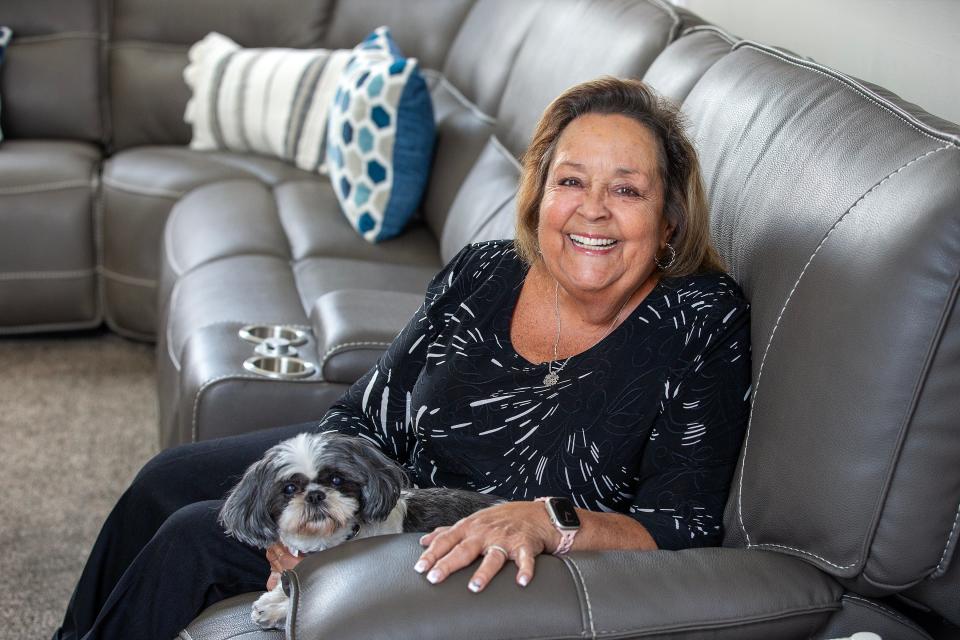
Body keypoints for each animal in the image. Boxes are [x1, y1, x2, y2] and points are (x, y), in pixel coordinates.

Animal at [218, 430, 502, 632]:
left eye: (336, 480)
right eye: (289, 489)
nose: (315, 495)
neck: (336, 540)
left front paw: (279, 610)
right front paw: (275, 598)